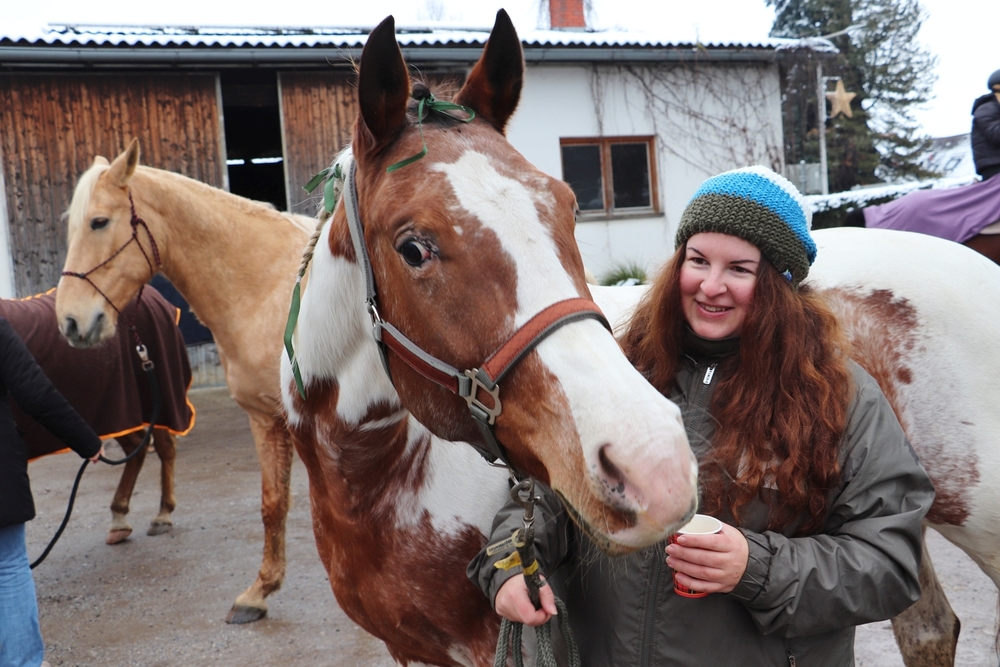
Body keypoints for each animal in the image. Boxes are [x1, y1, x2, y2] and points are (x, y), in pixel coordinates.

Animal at [6, 286, 195, 545]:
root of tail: (151, 294)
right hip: (122, 412)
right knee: (137, 448)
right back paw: (119, 518)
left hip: (156, 399)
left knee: (165, 448)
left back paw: (162, 515)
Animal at [53, 139, 314, 623]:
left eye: (99, 221)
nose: (71, 323)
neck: (272, 289)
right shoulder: (266, 418)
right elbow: (274, 504)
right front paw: (258, 592)